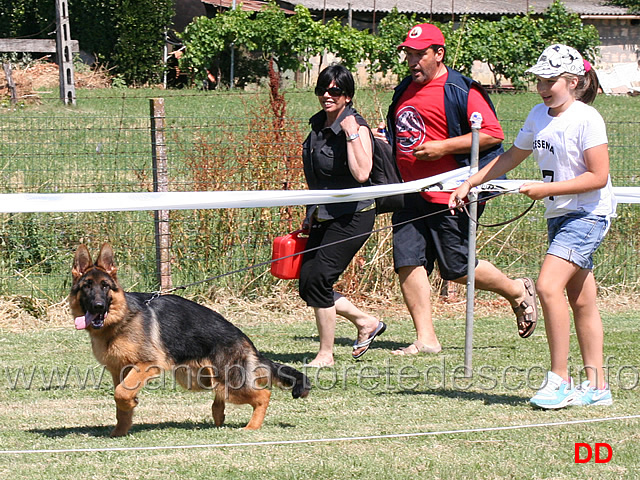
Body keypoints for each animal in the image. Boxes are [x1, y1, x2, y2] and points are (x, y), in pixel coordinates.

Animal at [70, 246, 310, 436]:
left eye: (105, 286)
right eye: (87, 286)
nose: (99, 306)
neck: (121, 320)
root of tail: (245, 341)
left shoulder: (147, 364)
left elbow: (121, 393)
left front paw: (130, 404)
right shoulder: (117, 370)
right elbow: (120, 400)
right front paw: (120, 430)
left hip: (230, 381)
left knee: (263, 394)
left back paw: (252, 426)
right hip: (201, 379)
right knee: (220, 396)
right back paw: (219, 417)